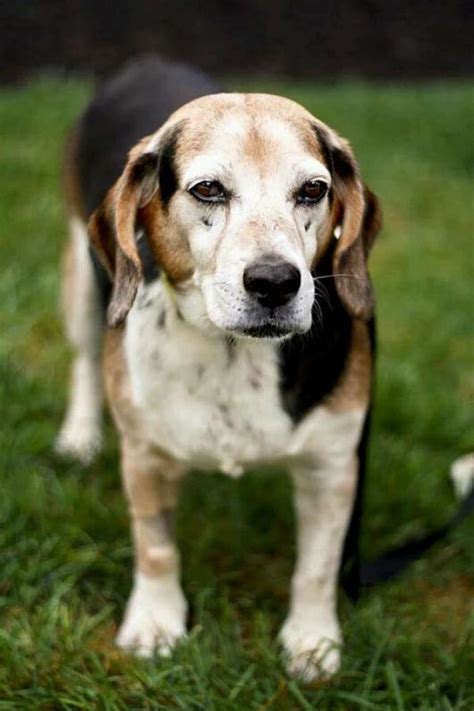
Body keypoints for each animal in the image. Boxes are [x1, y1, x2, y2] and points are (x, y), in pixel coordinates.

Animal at [56, 55, 382, 680]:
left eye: (313, 190)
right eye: (208, 189)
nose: (275, 282)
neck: (233, 352)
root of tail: (148, 62)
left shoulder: (332, 466)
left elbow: (318, 567)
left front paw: (311, 642)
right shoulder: (145, 456)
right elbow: (156, 549)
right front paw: (155, 626)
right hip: (83, 277)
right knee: (84, 359)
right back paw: (79, 435)